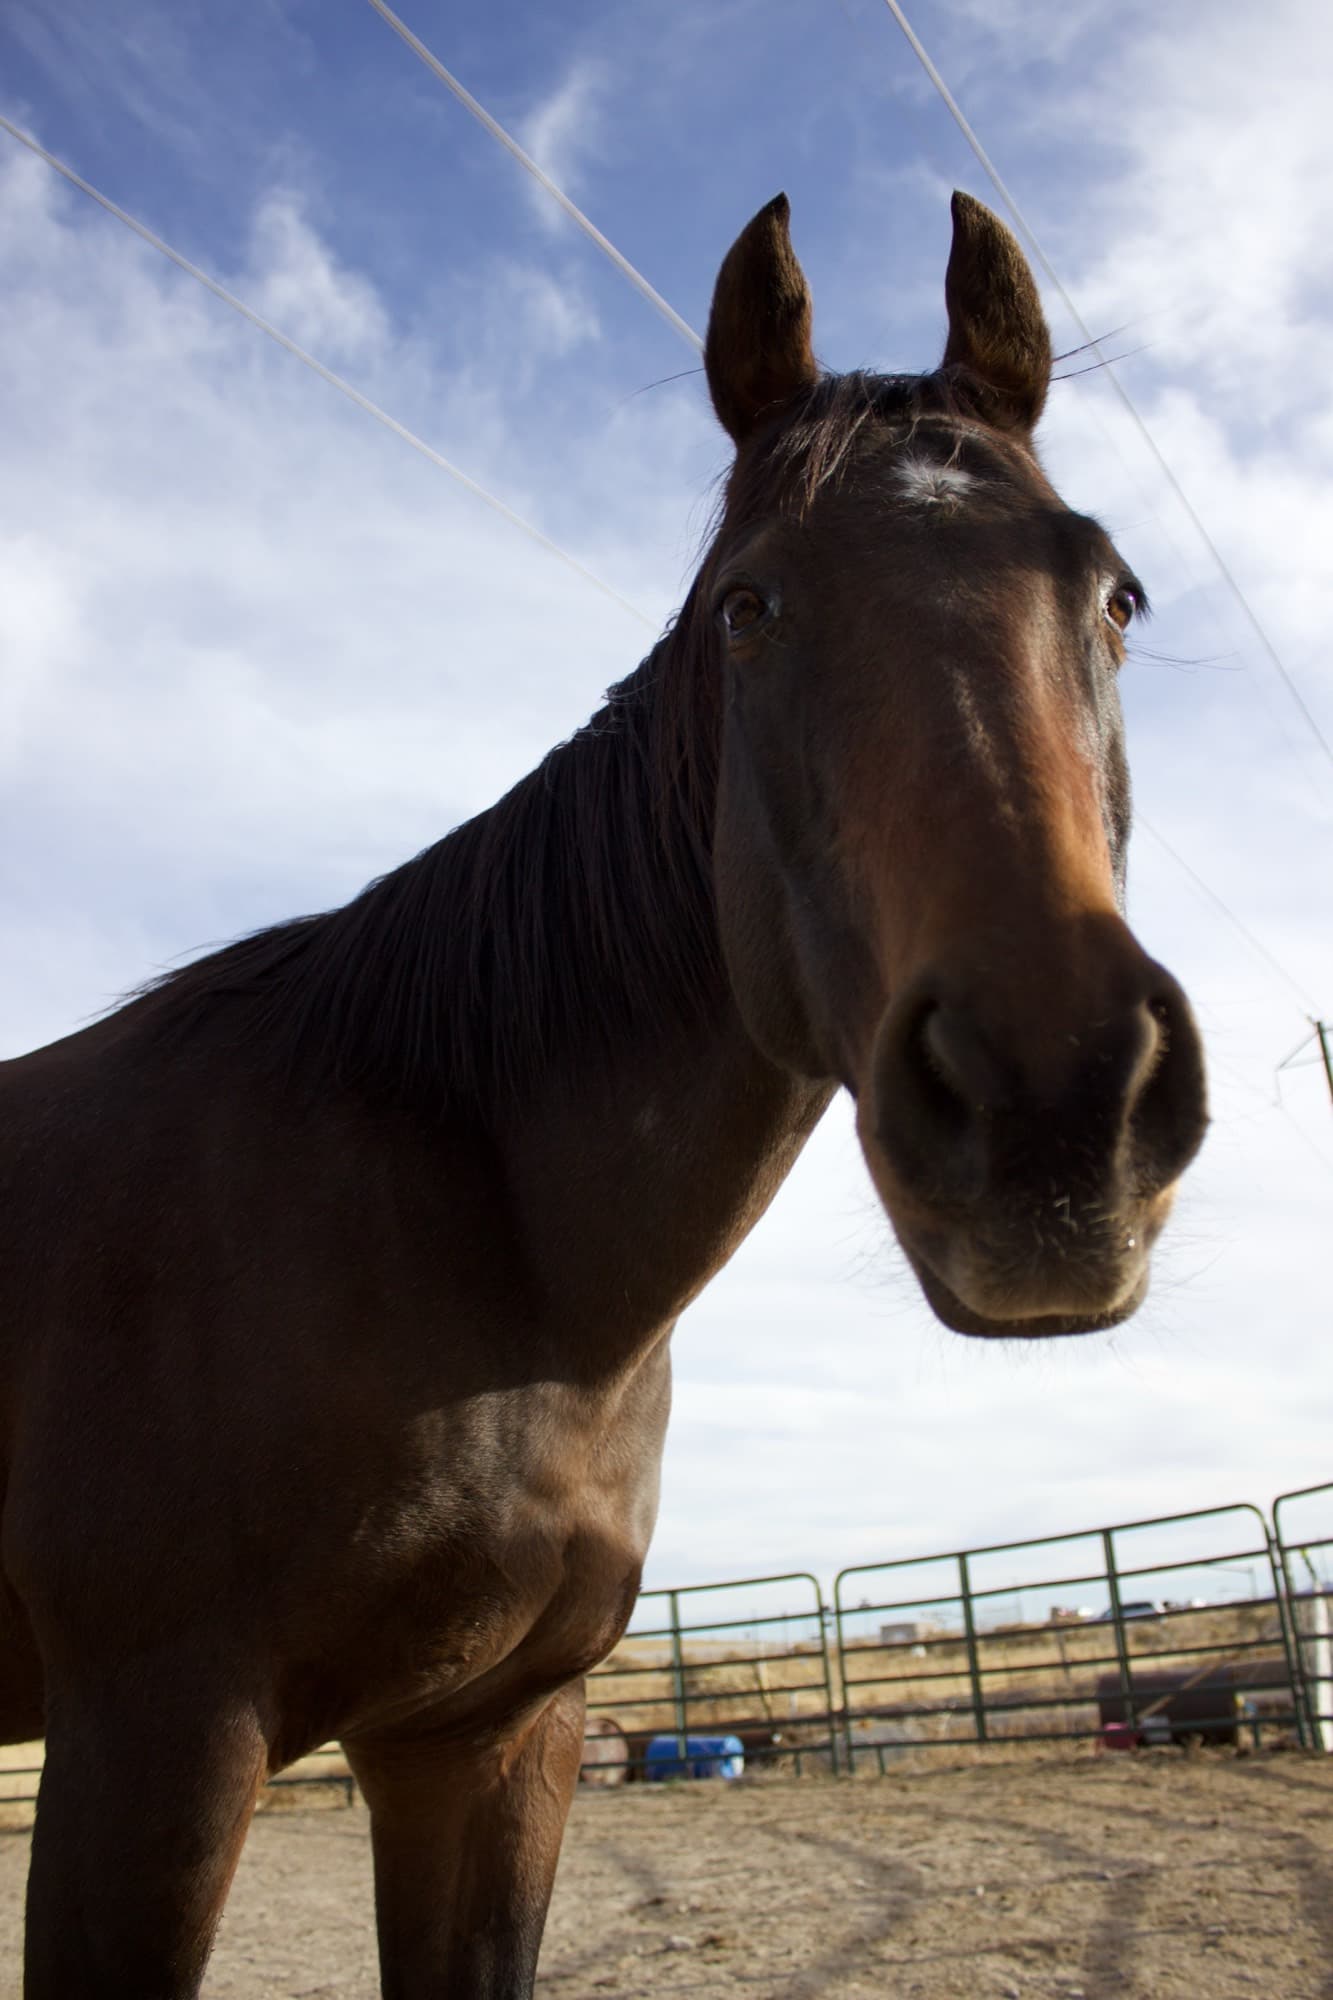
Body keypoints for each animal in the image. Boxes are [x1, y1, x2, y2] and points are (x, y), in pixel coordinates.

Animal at [0, 189, 1207, 1996]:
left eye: (1115, 596)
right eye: (748, 610)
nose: (1054, 1101)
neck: (483, 1252)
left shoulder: (494, 1741)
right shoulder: (152, 1745)